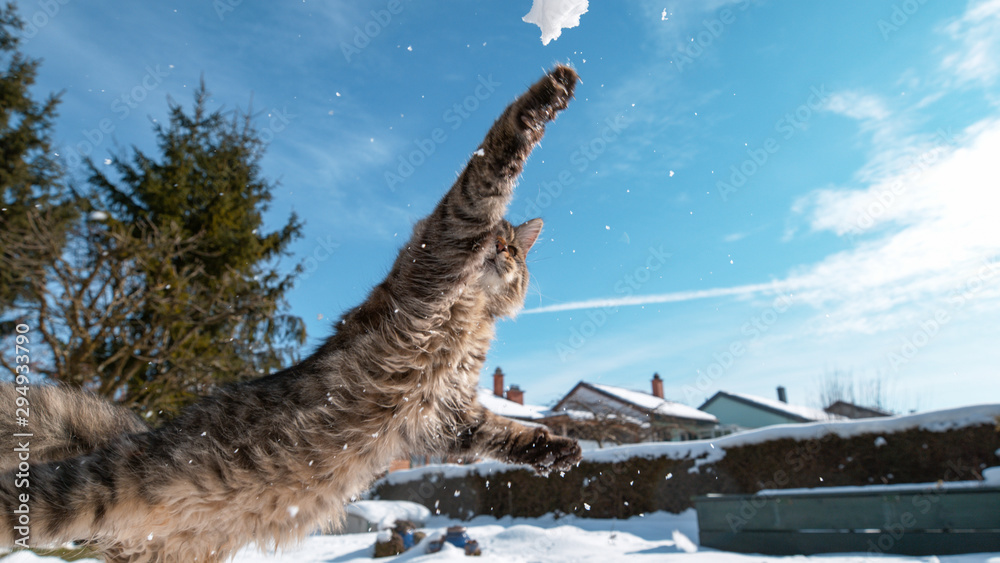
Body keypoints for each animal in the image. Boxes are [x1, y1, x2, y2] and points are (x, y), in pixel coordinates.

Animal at [0, 65, 584, 563]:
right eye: (498, 240)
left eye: (516, 250)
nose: (503, 253)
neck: (471, 313)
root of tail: (141, 432)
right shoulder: (451, 235)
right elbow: (497, 157)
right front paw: (553, 90)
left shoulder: (449, 415)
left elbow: (505, 432)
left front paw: (559, 450)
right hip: (77, 492)